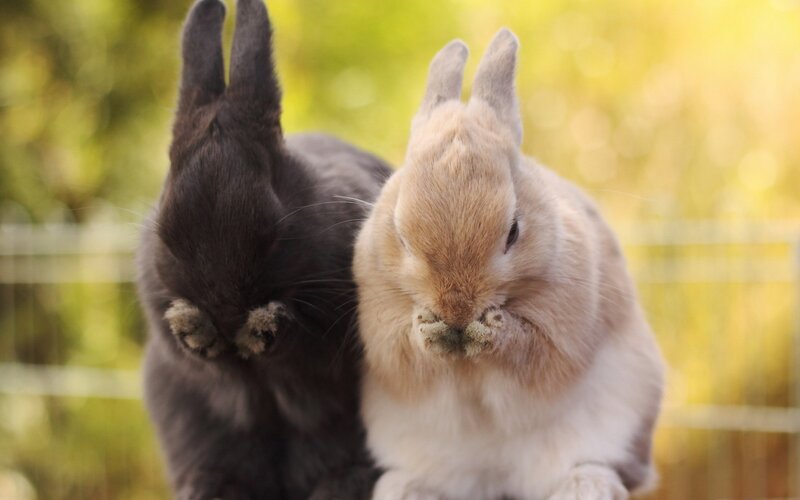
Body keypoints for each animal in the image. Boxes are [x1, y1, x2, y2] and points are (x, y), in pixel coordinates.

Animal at [136, 0, 392, 498]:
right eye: (167, 237)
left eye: (272, 232)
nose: (225, 309)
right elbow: (199, 358)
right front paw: (194, 327)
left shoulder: (334, 335)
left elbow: (307, 348)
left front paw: (263, 328)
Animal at [353, 28, 665, 500]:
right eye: (400, 234)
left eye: (514, 231)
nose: (456, 308)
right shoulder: (382, 332)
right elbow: (405, 352)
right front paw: (430, 329)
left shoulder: (561, 332)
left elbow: (530, 350)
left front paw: (489, 330)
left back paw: (586, 485)